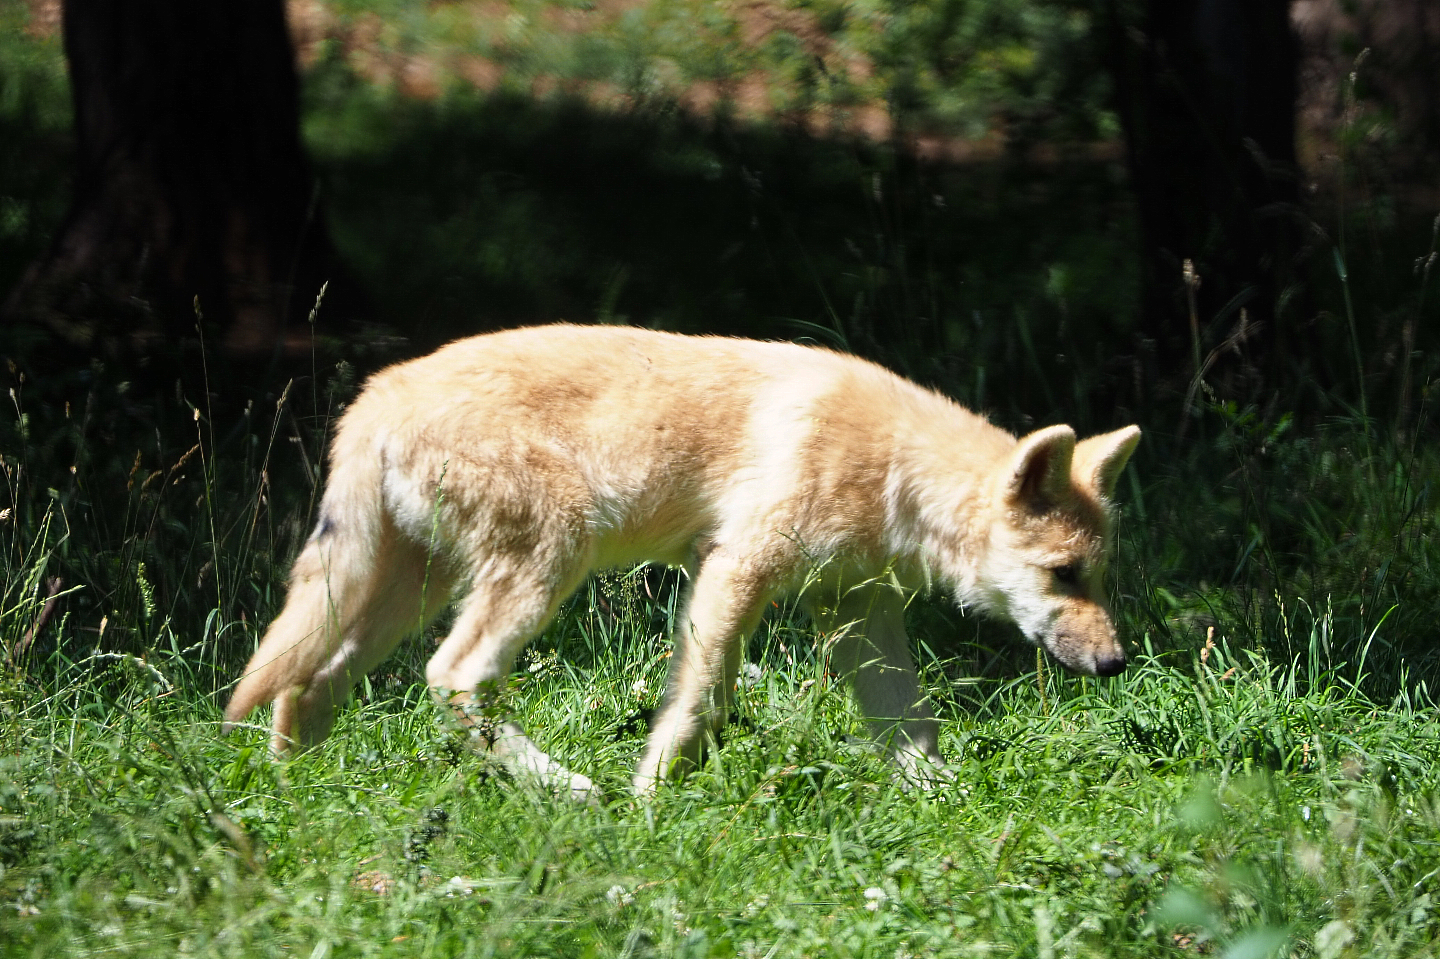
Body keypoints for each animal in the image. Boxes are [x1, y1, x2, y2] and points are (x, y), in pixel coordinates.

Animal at [224, 324, 1140, 798]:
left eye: (1098, 575)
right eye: (1063, 573)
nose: (1117, 663)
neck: (893, 471)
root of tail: (378, 393)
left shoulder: (857, 611)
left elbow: (912, 730)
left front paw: (951, 812)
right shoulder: (734, 571)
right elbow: (698, 704)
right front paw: (651, 798)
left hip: (411, 591)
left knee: (307, 688)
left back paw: (294, 800)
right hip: (546, 562)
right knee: (451, 676)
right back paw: (570, 789)